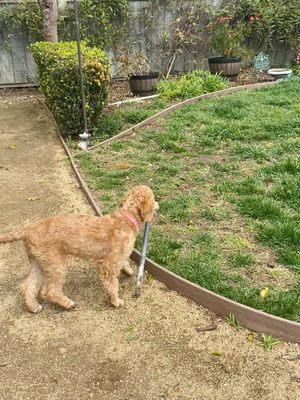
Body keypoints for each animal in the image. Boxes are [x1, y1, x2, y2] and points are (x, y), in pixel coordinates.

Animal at [0, 186, 158, 314]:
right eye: (154, 197)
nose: (158, 205)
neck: (126, 218)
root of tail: (28, 230)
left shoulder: (117, 256)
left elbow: (124, 261)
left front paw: (128, 270)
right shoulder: (109, 265)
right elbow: (113, 284)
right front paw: (116, 301)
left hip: (40, 263)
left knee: (27, 285)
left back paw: (34, 306)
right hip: (56, 264)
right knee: (49, 291)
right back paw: (67, 303)